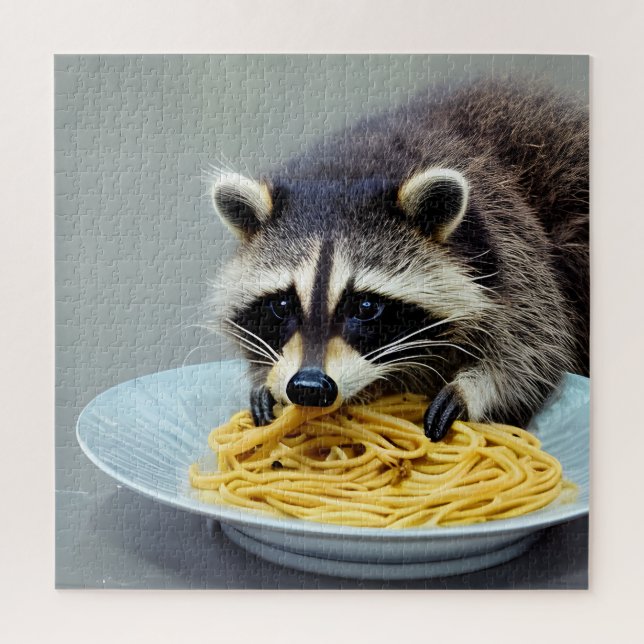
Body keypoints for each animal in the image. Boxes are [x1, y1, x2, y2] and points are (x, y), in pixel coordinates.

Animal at [208, 78, 589, 442]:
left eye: (365, 307)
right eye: (282, 304)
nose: (309, 387)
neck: (348, 168)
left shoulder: (510, 244)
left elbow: (536, 347)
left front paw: (475, 388)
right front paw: (265, 380)